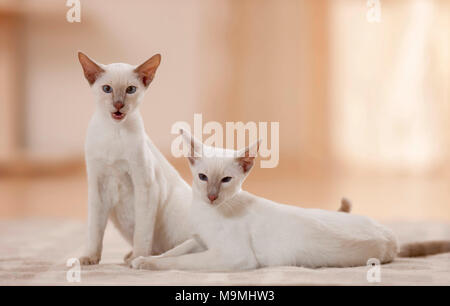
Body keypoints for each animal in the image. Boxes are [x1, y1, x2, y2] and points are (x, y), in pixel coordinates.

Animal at [77, 53, 193, 266]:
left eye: (130, 89)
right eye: (107, 89)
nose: (118, 104)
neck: (114, 132)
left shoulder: (145, 186)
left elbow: (142, 232)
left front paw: (138, 259)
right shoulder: (98, 187)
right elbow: (95, 231)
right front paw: (90, 258)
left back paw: (140, 258)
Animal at [130, 130, 398, 272]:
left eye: (225, 180)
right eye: (203, 177)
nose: (211, 196)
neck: (207, 212)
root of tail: (389, 234)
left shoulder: (233, 255)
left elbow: (180, 261)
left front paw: (146, 264)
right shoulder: (200, 240)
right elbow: (175, 250)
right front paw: (140, 259)